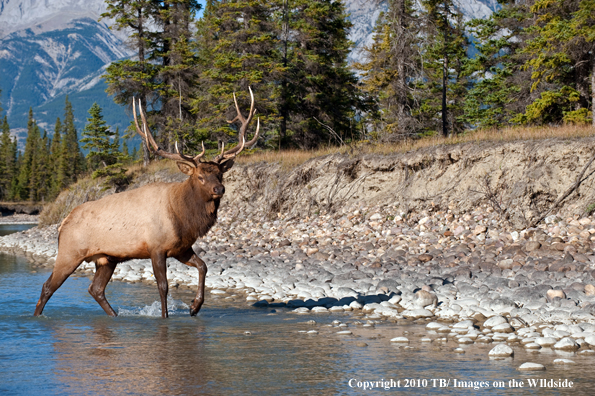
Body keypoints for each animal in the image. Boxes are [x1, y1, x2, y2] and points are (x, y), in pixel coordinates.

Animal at [33, 88, 260, 318]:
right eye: (200, 177)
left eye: (220, 174)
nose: (219, 189)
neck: (183, 218)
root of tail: (62, 223)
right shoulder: (156, 248)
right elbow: (163, 286)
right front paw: (166, 317)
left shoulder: (181, 248)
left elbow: (203, 266)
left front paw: (194, 306)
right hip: (69, 253)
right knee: (48, 287)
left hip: (106, 259)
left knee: (95, 289)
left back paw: (114, 315)